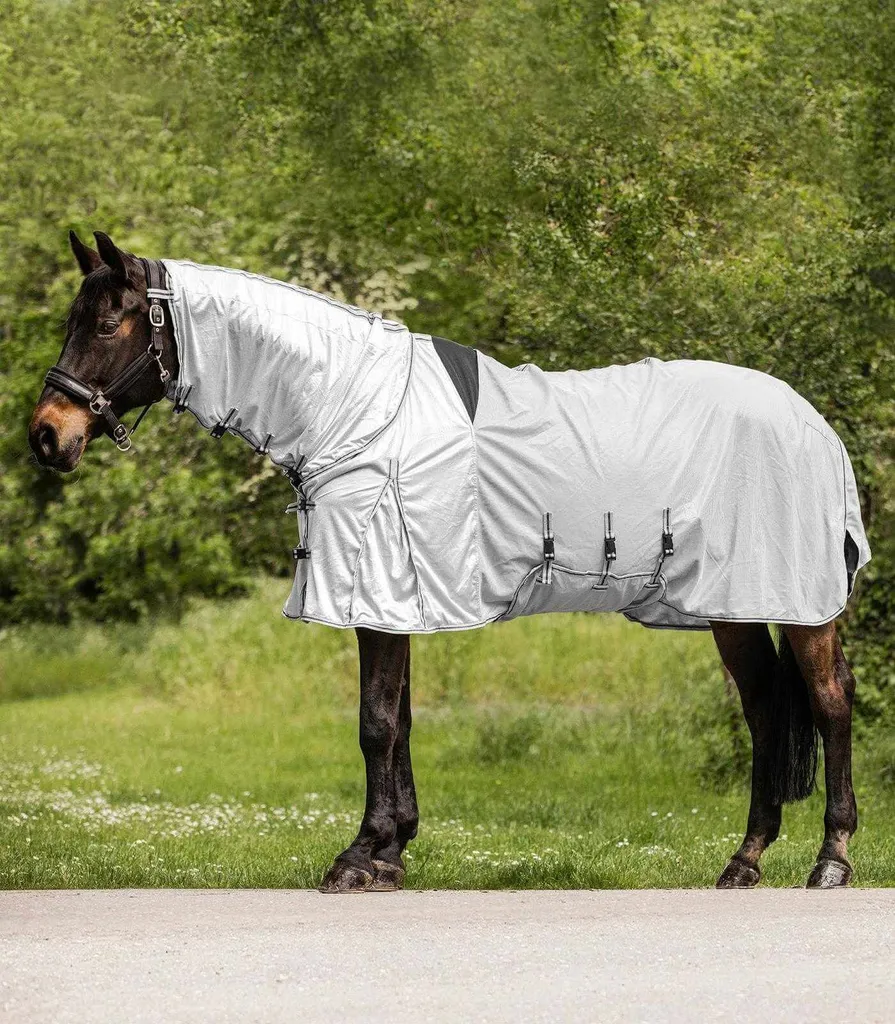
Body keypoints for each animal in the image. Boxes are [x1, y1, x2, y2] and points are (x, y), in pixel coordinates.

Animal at [29, 230, 870, 892]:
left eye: (106, 320)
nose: (46, 434)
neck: (357, 410)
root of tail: (812, 422)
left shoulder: (376, 590)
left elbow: (374, 724)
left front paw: (359, 858)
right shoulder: (392, 599)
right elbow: (399, 721)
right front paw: (391, 850)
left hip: (800, 604)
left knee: (829, 702)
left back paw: (829, 861)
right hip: (734, 607)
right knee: (763, 711)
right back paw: (744, 861)